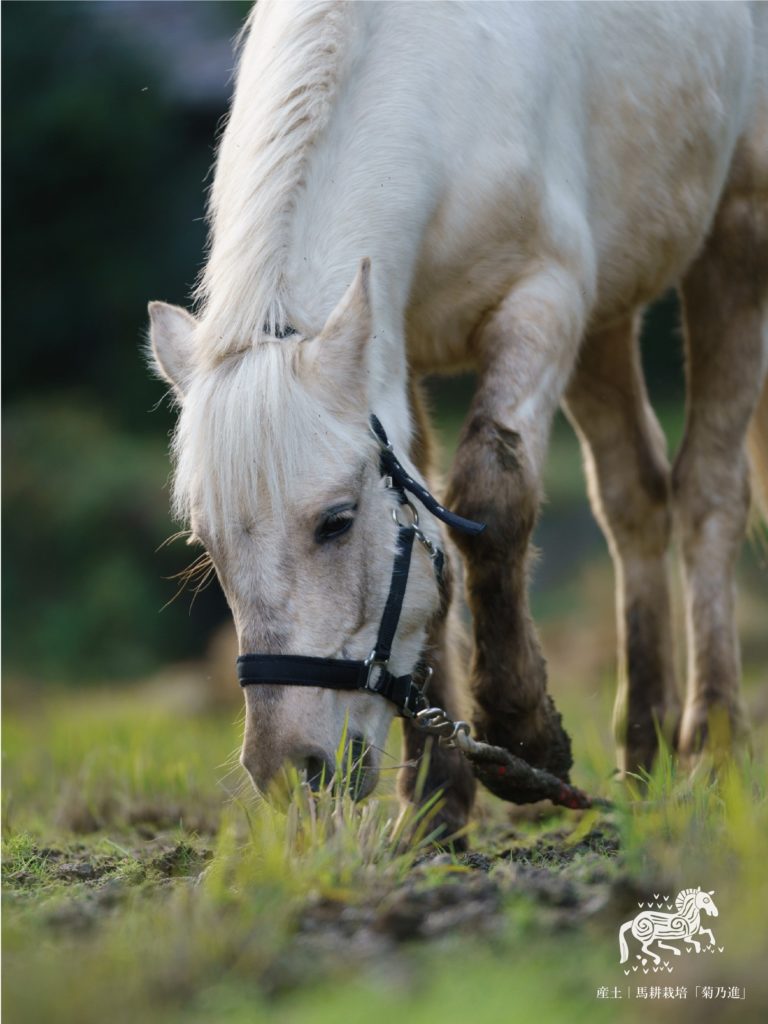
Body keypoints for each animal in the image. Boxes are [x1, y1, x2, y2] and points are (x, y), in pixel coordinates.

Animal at [147, 4, 765, 835]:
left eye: (336, 522)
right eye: (206, 545)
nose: (289, 771)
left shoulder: (541, 300)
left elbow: (489, 498)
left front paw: (525, 739)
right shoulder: (396, 349)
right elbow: (431, 538)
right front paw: (437, 796)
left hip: (736, 232)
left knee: (708, 493)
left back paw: (716, 749)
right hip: (609, 311)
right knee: (633, 495)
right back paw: (645, 747)